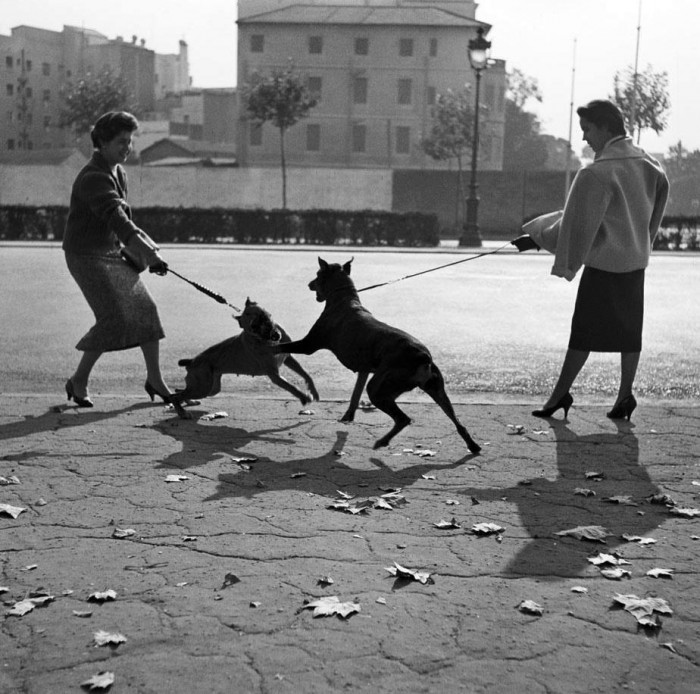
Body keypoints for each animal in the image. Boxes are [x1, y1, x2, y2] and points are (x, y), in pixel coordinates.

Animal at [170, 298, 319, 419]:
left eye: (263, 315)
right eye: (253, 327)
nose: (271, 332)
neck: (264, 340)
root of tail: (192, 361)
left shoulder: (288, 359)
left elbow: (305, 374)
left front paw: (312, 389)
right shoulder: (275, 376)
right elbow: (291, 387)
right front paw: (303, 396)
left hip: (210, 388)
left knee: (180, 391)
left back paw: (188, 402)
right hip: (203, 387)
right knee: (175, 396)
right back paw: (182, 412)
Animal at [273, 258, 480, 452]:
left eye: (317, 274)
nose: (309, 284)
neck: (344, 298)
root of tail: (423, 357)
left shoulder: (308, 344)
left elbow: (280, 347)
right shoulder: (364, 369)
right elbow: (356, 392)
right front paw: (348, 416)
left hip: (380, 387)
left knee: (403, 419)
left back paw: (383, 441)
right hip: (434, 389)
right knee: (455, 419)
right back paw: (472, 445)